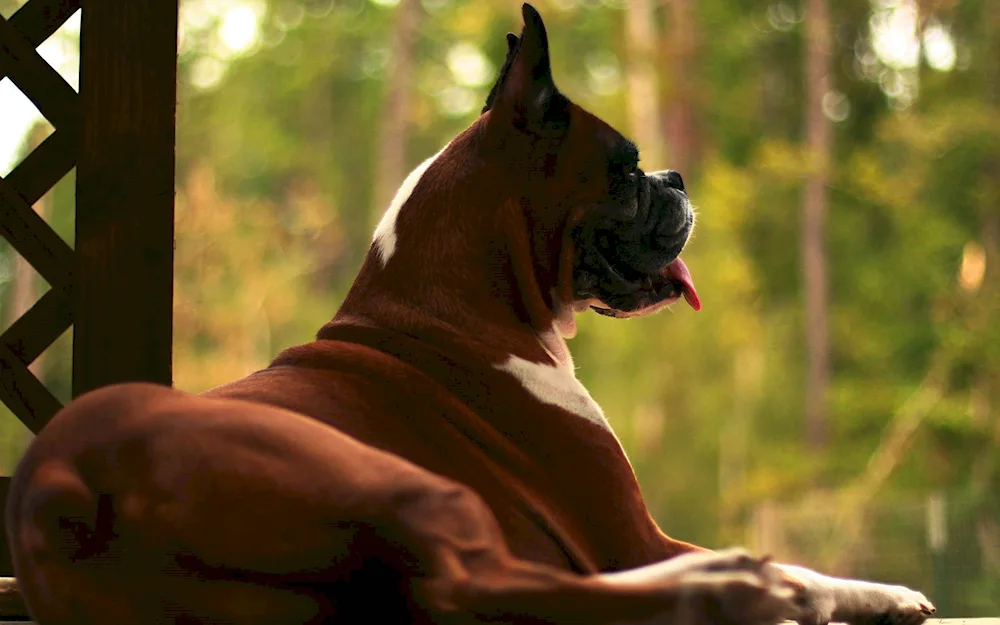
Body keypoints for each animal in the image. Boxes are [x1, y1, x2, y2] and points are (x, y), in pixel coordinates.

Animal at [3, 6, 932, 624]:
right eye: (627, 167)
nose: (674, 177)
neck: (449, 310)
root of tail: (67, 479)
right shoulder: (635, 534)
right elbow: (810, 566)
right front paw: (876, 589)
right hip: (384, 476)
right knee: (476, 586)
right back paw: (732, 586)